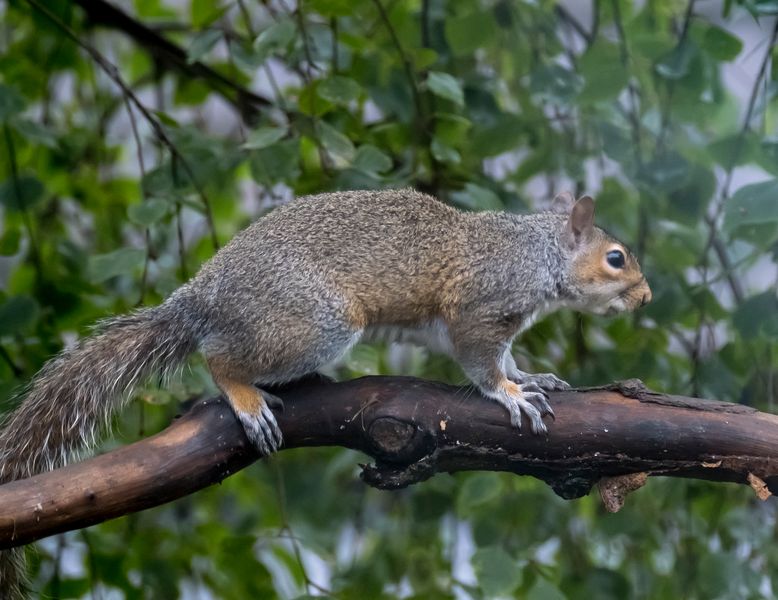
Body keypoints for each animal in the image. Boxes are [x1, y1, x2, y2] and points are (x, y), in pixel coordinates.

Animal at [0, 189, 648, 596]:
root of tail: (202, 298)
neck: (538, 255)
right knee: (219, 359)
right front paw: (510, 394)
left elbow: (504, 355)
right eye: (616, 259)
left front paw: (531, 377)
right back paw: (243, 394)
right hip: (317, 322)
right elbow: (481, 363)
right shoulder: (478, 307)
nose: (644, 299)